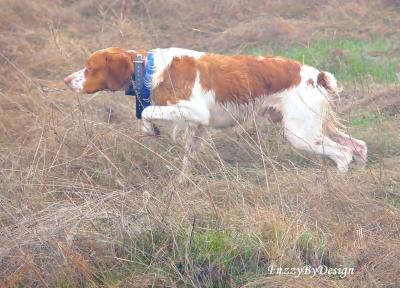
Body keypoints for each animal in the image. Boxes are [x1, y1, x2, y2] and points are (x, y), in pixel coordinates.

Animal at [64, 47, 368, 177]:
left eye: (90, 68)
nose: (66, 80)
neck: (150, 70)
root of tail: (317, 75)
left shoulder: (196, 112)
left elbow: (148, 110)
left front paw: (151, 127)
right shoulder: (198, 128)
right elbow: (186, 160)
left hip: (299, 133)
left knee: (343, 153)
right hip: (315, 127)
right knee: (358, 145)